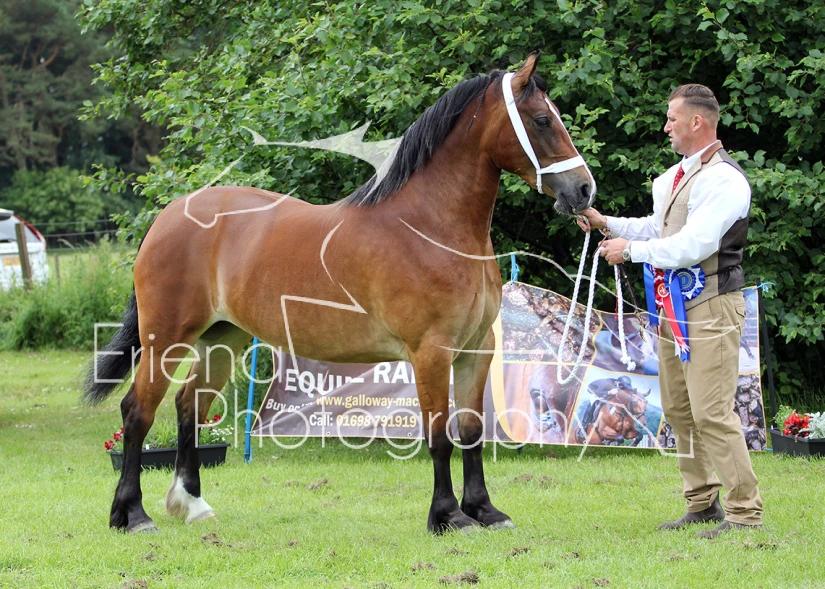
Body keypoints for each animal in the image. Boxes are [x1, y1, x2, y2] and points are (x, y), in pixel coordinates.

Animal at [84, 52, 595, 534]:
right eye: (542, 120)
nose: (584, 190)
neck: (431, 227)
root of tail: (168, 217)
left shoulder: (475, 349)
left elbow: (470, 428)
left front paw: (484, 511)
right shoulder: (431, 353)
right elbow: (438, 435)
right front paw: (448, 516)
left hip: (222, 338)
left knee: (190, 405)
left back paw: (191, 504)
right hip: (165, 339)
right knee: (138, 411)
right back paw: (131, 515)